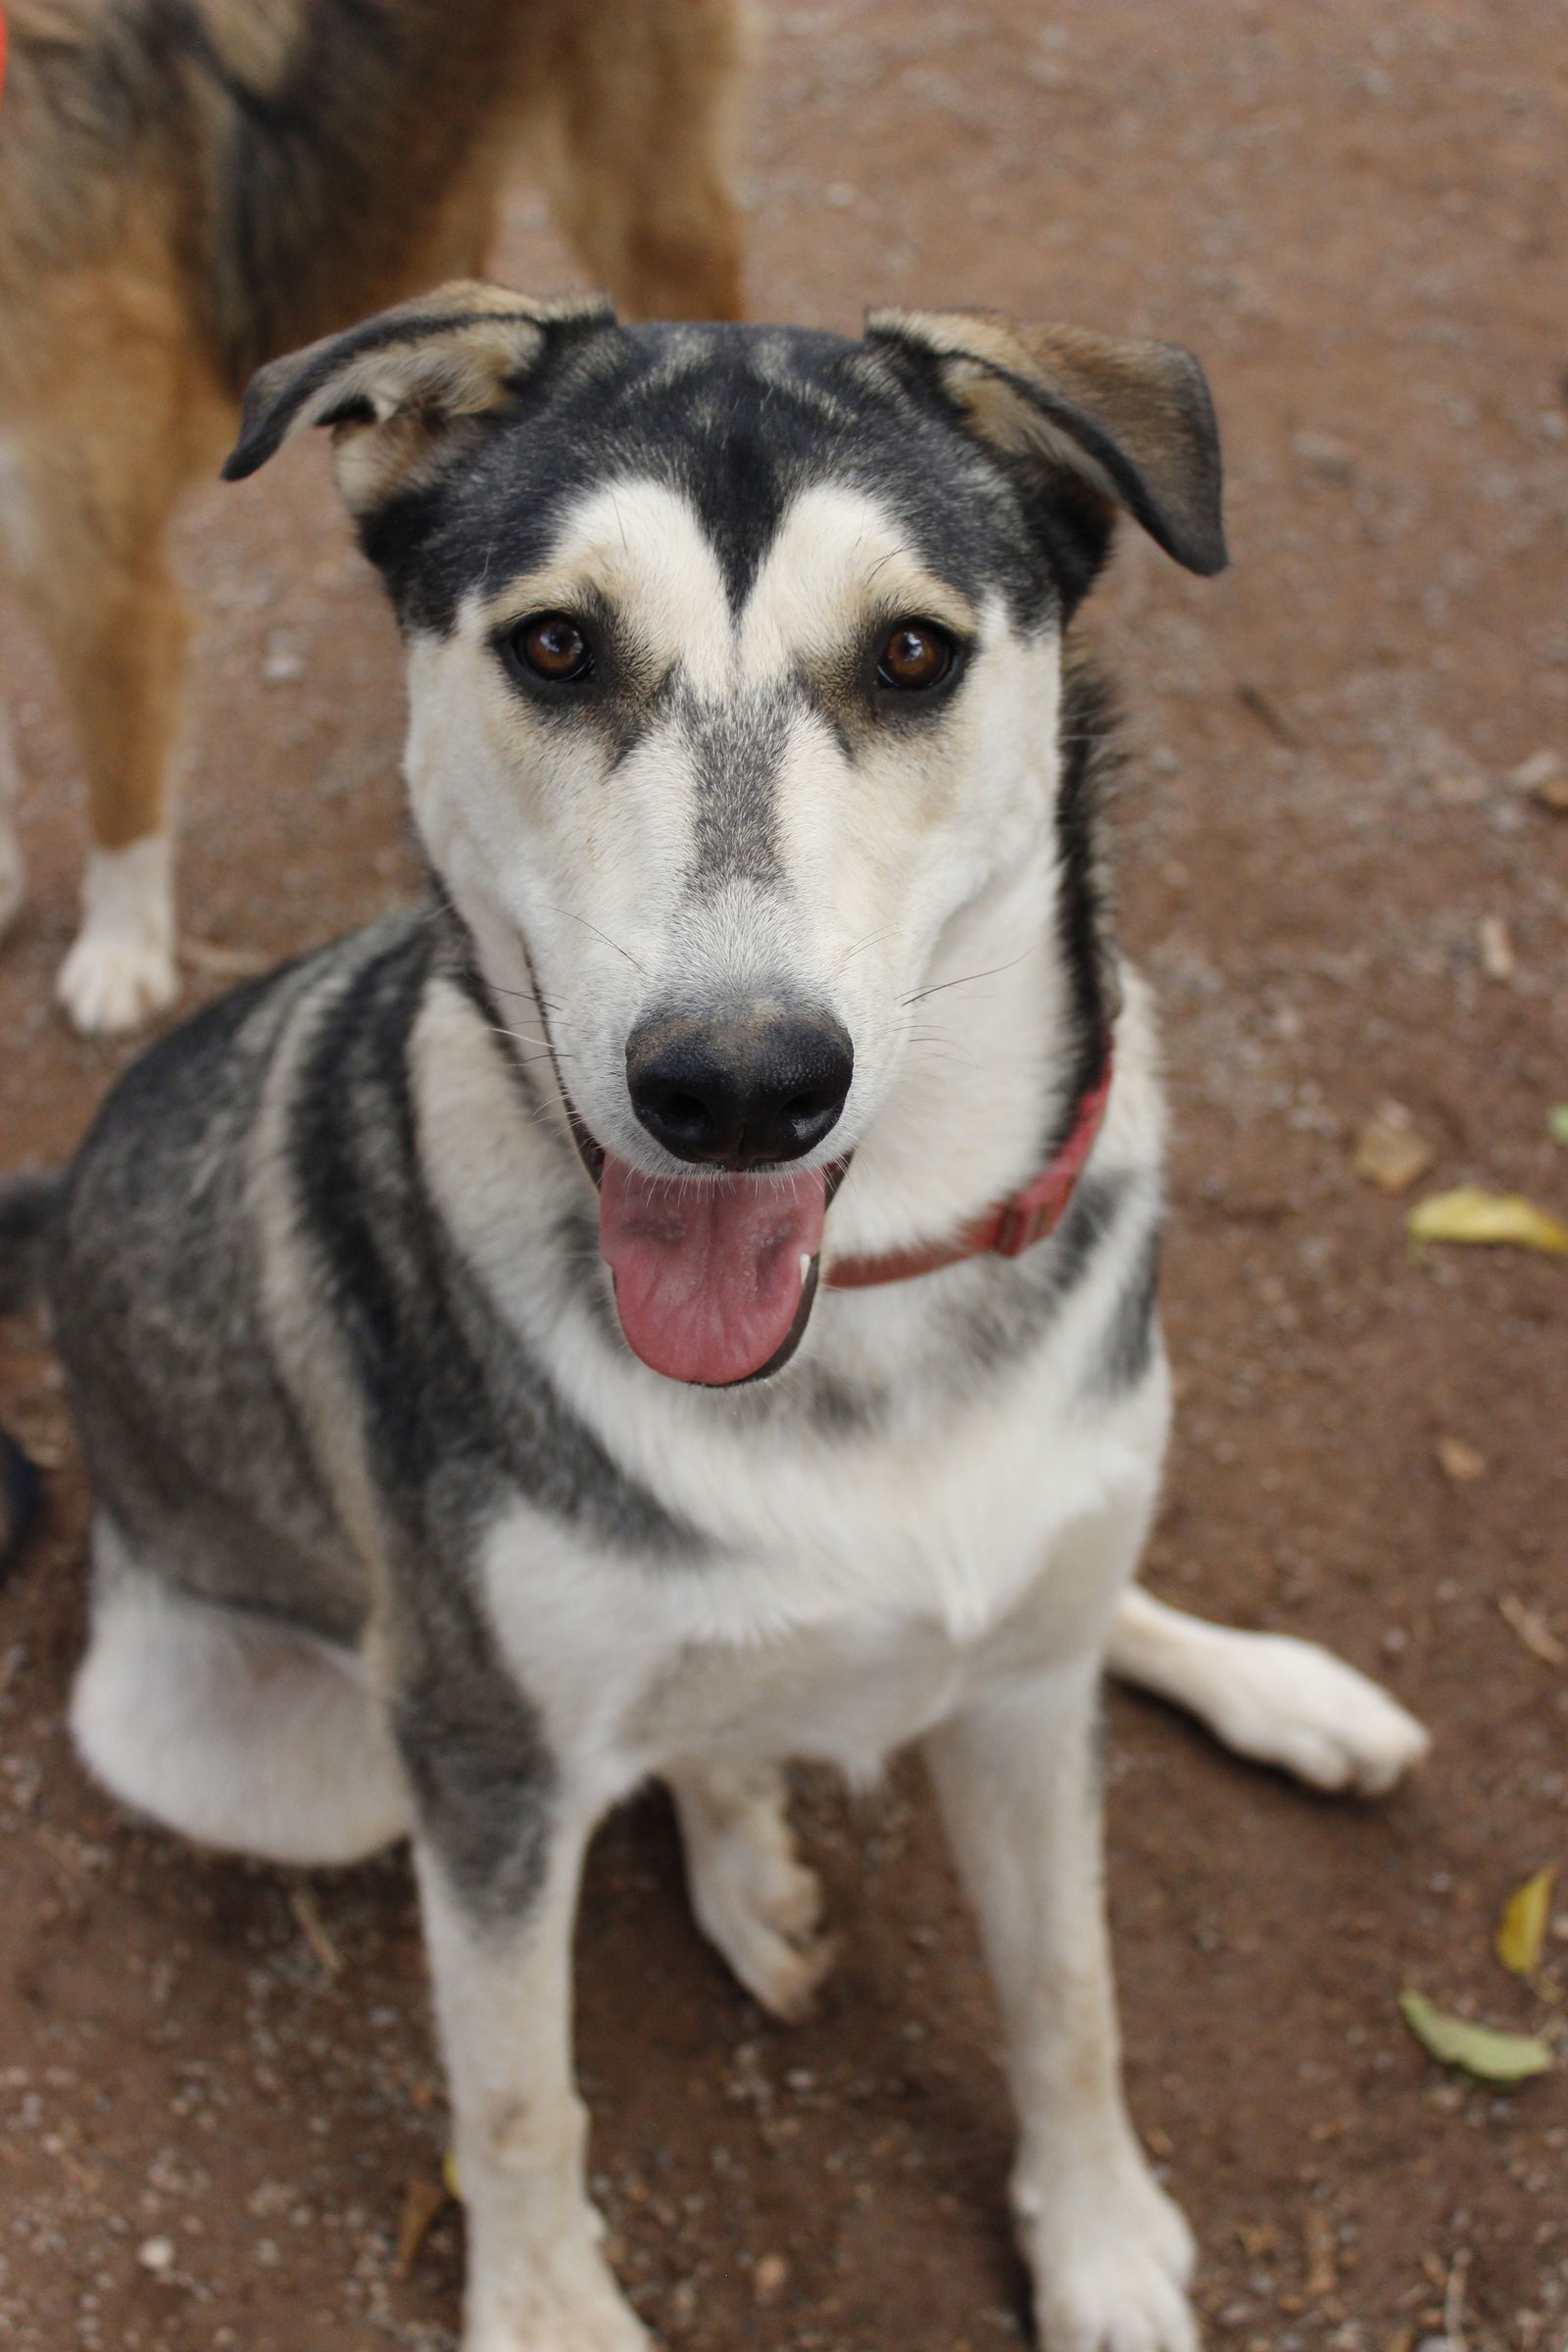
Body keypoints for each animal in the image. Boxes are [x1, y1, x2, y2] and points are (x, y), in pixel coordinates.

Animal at [3, 289, 1419, 2352]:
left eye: (912, 652)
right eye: (556, 645)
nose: (737, 1088)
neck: (868, 1314)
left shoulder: (1021, 1707)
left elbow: (1071, 1998)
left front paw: (1096, 2244)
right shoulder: (485, 1764)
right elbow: (521, 2098)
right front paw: (550, 2314)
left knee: (1068, 1611)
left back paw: (1280, 1696)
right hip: (289, 1757)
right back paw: (747, 1837)